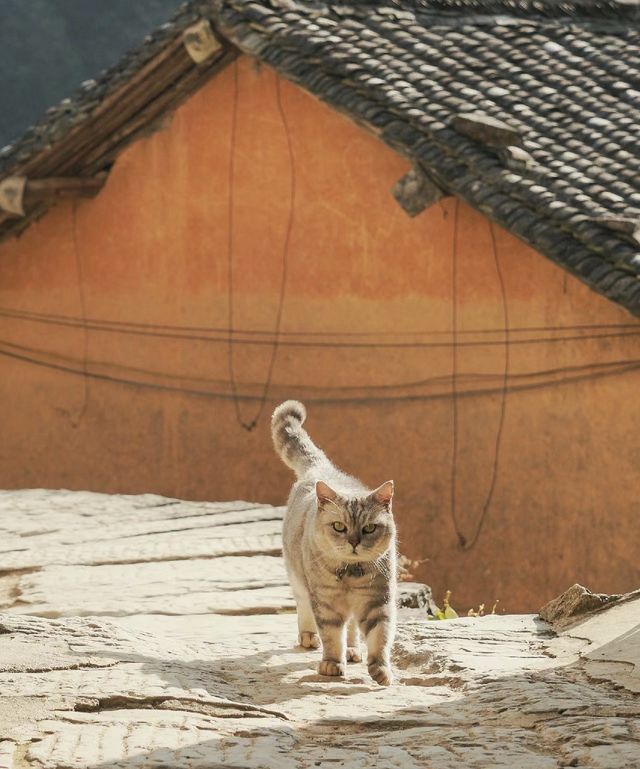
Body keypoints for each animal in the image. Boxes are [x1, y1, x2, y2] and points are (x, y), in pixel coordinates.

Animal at [272, 400, 398, 688]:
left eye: (369, 528)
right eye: (339, 526)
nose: (353, 542)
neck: (351, 573)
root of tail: (322, 469)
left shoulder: (378, 601)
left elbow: (379, 637)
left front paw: (380, 670)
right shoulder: (326, 603)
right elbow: (331, 636)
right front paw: (331, 664)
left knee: (351, 629)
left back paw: (353, 650)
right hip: (298, 579)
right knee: (304, 609)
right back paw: (309, 637)